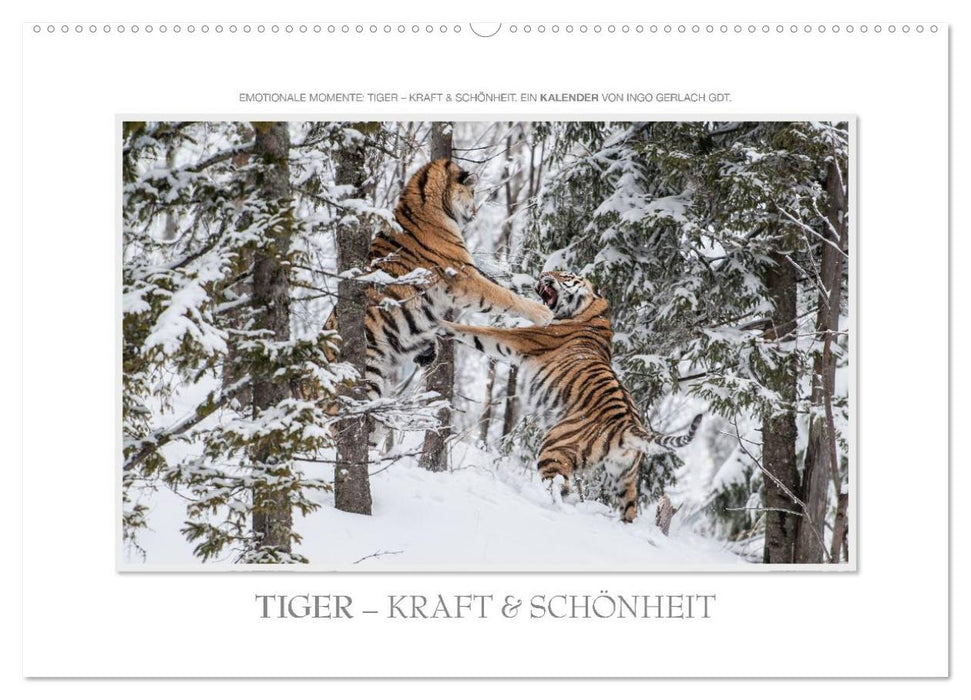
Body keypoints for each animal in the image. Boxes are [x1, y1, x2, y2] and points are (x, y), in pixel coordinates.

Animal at [325, 158, 553, 404]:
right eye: (473, 192)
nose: (474, 212)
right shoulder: (464, 276)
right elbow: (502, 294)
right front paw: (541, 312)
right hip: (369, 371)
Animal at [442, 270, 702, 523]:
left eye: (563, 274)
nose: (542, 276)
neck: (593, 312)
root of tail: (629, 425)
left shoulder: (522, 338)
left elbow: (479, 332)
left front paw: (442, 323)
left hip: (554, 448)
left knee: (559, 489)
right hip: (624, 477)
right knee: (628, 509)